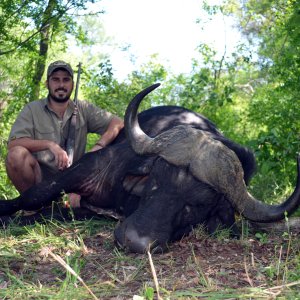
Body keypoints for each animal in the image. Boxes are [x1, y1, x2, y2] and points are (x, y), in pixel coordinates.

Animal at [0, 84, 300, 253]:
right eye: (155, 181)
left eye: (196, 206)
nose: (133, 241)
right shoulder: (90, 166)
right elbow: (36, 195)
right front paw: (6, 212)